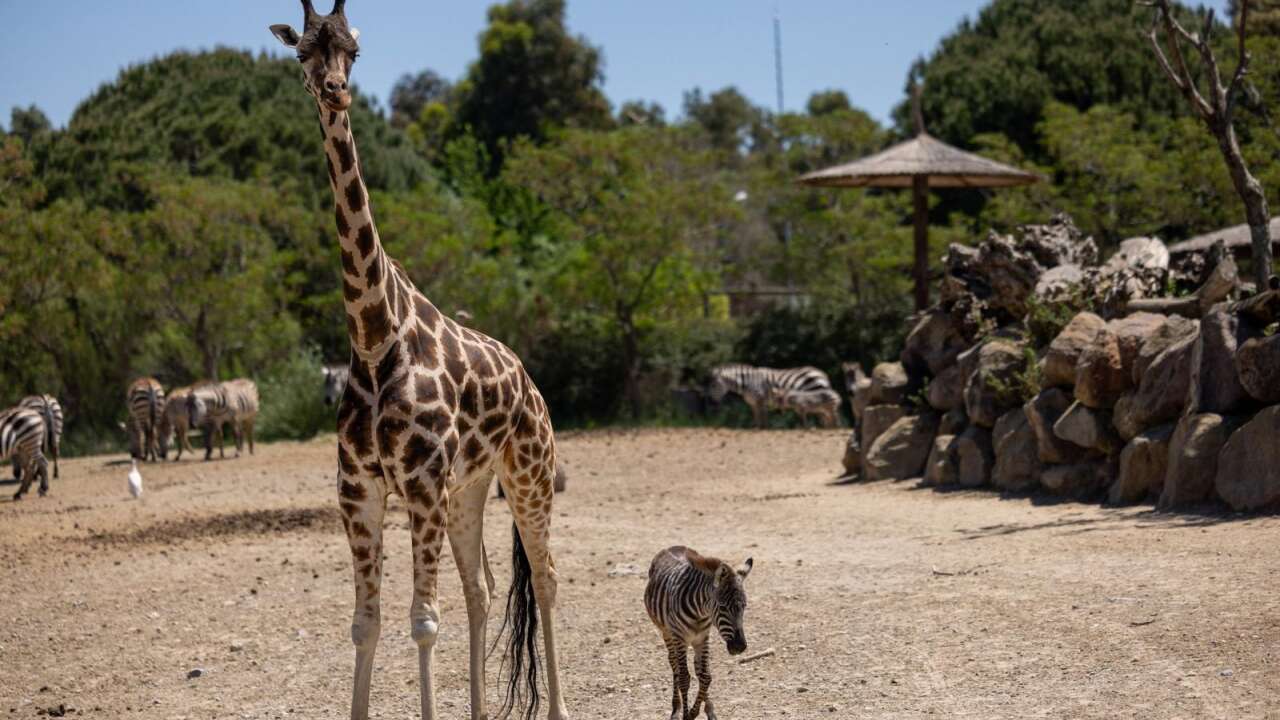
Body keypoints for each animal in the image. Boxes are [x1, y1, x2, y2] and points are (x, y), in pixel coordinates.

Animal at [644, 546, 753, 720]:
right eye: (722, 606)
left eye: (744, 606)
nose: (739, 647)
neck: (700, 612)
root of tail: (672, 547)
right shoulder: (680, 638)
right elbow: (684, 678)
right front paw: (686, 714)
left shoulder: (703, 637)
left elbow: (706, 676)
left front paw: (700, 711)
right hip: (667, 633)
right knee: (674, 663)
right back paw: (676, 708)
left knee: (697, 669)